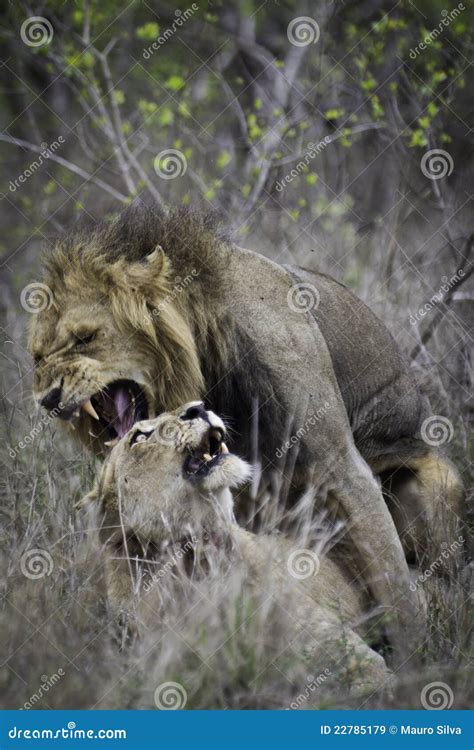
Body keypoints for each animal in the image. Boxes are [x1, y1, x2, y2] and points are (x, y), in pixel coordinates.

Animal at [28, 204, 460, 648]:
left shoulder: (343, 467)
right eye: (38, 357)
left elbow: (394, 582)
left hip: (439, 484)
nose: (48, 399)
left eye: (85, 338)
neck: (206, 362)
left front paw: (415, 654)